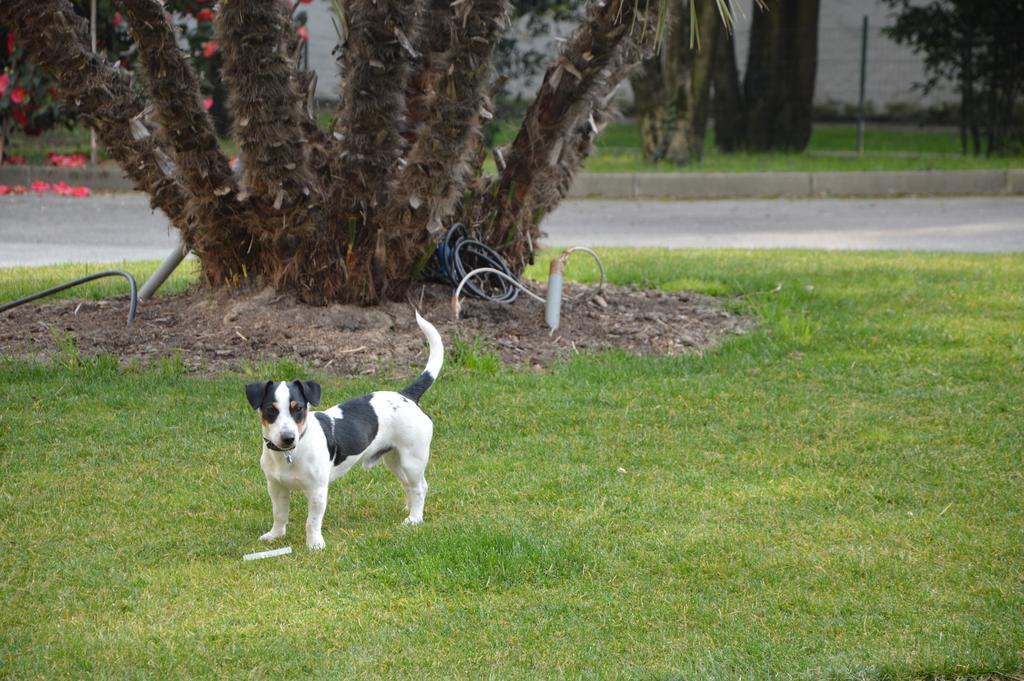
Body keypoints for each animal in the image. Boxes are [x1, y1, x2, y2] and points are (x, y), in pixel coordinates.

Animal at [246, 311, 444, 548]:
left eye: (299, 408)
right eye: (270, 410)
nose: (287, 438)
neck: (291, 454)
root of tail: (407, 395)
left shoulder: (318, 491)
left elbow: (312, 522)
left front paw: (314, 545)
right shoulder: (276, 487)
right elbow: (279, 514)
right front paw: (275, 536)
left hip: (412, 460)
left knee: (419, 487)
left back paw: (414, 518)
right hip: (394, 460)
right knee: (410, 486)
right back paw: (410, 509)